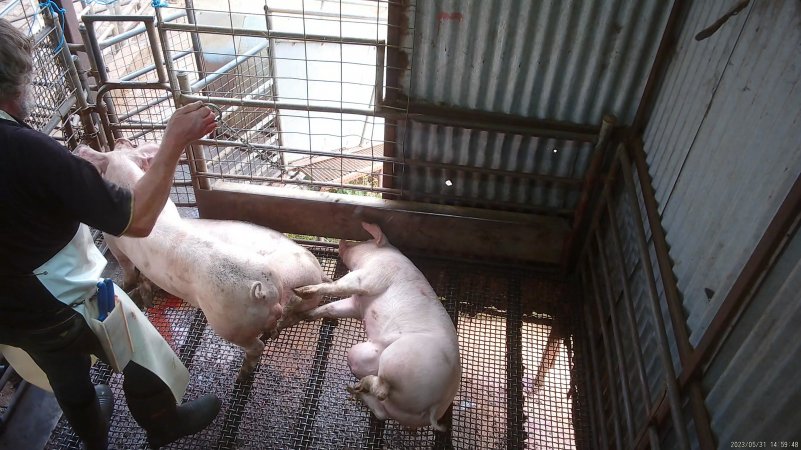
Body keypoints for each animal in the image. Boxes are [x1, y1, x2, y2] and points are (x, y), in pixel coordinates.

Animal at [294, 223, 460, 430]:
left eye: (366, 240)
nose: (342, 240)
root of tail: (437, 405)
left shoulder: (371, 276)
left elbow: (340, 285)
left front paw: (302, 291)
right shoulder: (356, 305)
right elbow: (332, 308)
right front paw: (304, 315)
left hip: (399, 358)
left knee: (382, 390)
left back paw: (359, 386)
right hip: (367, 365)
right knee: (381, 410)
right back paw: (355, 389)